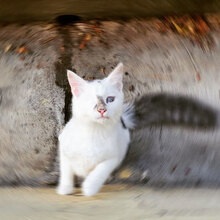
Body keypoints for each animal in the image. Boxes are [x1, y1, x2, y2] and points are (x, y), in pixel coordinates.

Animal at [56, 62, 134, 197]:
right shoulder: (63, 143)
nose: (102, 109)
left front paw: (90, 186)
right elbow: (66, 169)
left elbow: (102, 169)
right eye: (90, 100)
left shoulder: (115, 154)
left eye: (110, 99)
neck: (94, 131)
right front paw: (65, 188)